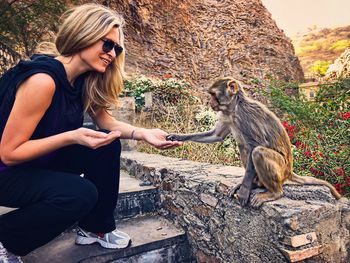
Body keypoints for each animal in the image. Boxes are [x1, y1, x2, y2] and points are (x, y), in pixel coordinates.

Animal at [167, 77, 342, 207]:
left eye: (213, 94)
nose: (210, 102)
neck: (234, 108)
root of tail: (289, 171)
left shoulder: (246, 116)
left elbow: (255, 145)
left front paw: (245, 189)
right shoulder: (226, 115)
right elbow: (216, 135)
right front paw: (177, 137)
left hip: (281, 169)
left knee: (258, 152)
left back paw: (273, 192)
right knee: (243, 147)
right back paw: (256, 184)